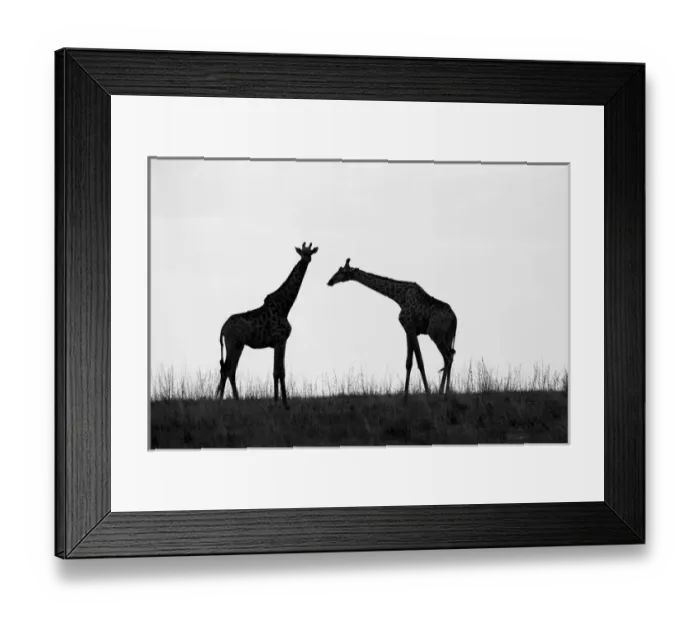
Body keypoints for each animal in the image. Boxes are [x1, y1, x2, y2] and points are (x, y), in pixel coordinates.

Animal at [216, 242, 319, 408]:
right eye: (302, 252)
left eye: (310, 253)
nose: (306, 260)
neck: (285, 307)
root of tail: (222, 329)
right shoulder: (280, 340)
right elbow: (279, 371)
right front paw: (283, 404)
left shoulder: (279, 342)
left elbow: (278, 370)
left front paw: (278, 401)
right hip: (233, 344)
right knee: (227, 369)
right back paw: (227, 401)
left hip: (238, 345)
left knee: (229, 370)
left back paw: (232, 400)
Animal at [327, 259, 457, 398]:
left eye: (342, 271)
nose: (330, 281)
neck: (399, 296)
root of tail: (455, 319)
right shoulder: (410, 331)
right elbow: (409, 362)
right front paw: (405, 397)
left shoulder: (410, 327)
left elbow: (419, 361)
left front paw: (427, 393)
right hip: (448, 336)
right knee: (449, 357)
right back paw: (446, 393)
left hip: (435, 334)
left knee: (447, 357)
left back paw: (441, 392)